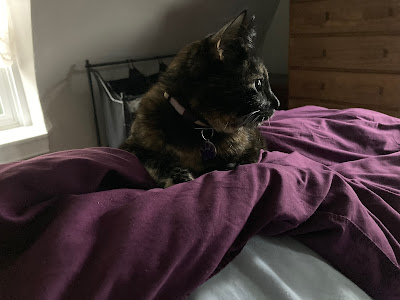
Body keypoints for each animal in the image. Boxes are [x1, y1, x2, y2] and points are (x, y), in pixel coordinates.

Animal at [120, 11, 280, 188]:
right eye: (258, 83)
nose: (277, 103)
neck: (198, 128)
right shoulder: (131, 146)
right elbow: (157, 160)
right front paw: (181, 178)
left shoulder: (256, 142)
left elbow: (251, 158)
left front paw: (231, 165)